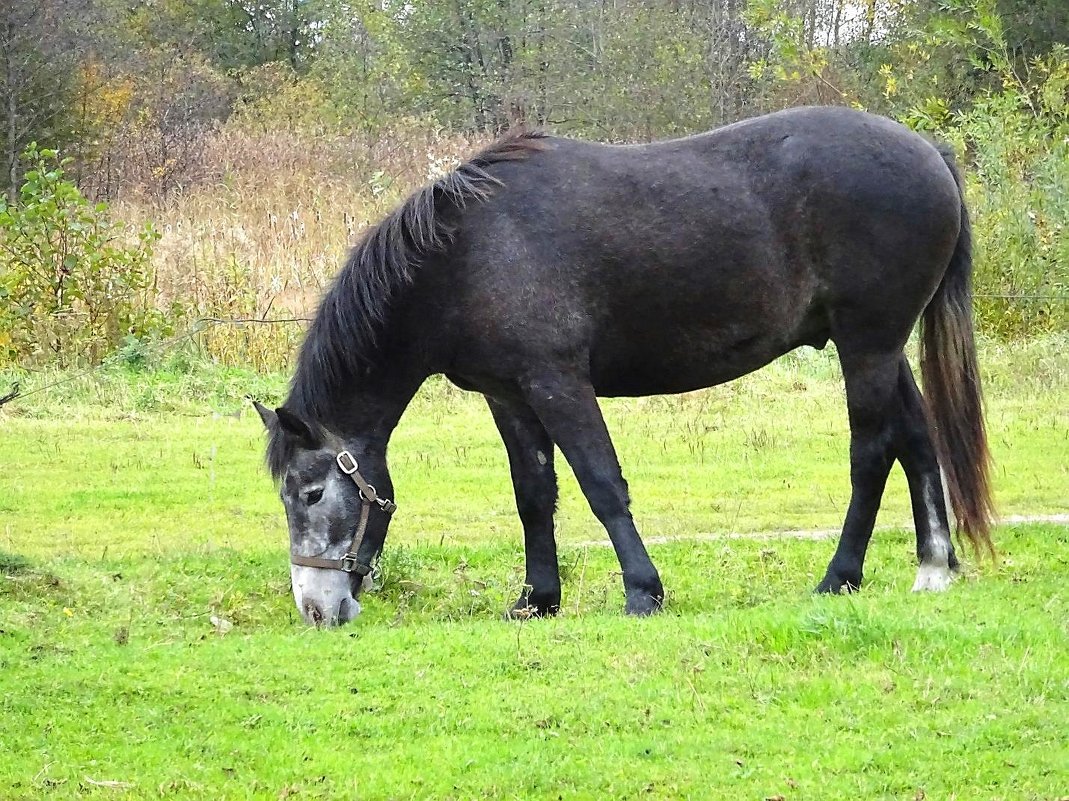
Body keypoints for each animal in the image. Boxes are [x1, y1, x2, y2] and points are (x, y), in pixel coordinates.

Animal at [250, 106, 992, 628]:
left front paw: (642, 590)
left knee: (871, 452)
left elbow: (601, 484)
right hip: (878, 346)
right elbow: (533, 495)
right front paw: (536, 598)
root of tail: (928, 151)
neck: (467, 256)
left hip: (866, 344)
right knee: (915, 437)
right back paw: (934, 565)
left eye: (309, 493)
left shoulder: (558, 384)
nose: (316, 608)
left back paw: (839, 575)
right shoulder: (508, 396)